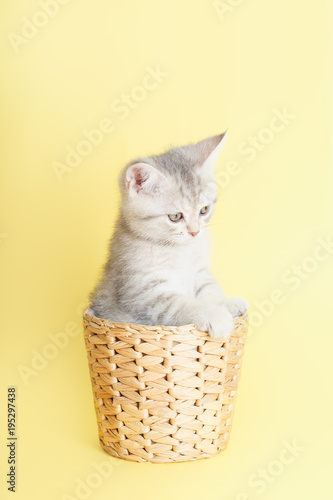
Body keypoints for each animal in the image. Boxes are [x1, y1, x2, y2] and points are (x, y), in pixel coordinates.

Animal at [90, 132, 246, 340]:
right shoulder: (143, 291)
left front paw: (227, 303)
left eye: (204, 210)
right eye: (175, 216)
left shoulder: (199, 271)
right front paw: (216, 316)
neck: (178, 250)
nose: (195, 231)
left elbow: (209, 288)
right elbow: (180, 304)